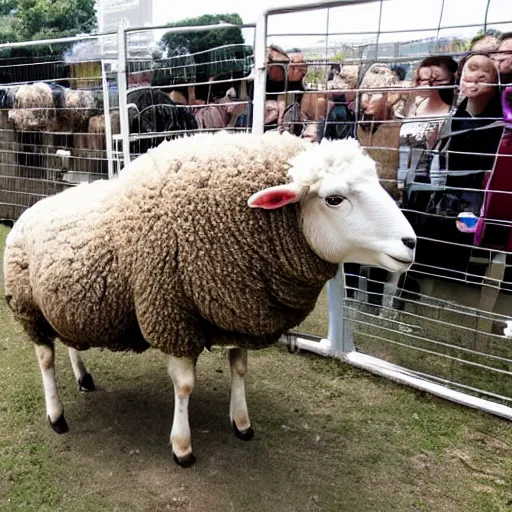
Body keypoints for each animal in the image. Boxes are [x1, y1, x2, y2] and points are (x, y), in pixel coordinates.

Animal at [3, 129, 416, 468]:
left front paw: (242, 423)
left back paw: (84, 378)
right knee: (45, 357)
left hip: (67, 305)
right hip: (28, 308)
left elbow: (240, 368)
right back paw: (57, 416)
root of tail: (31, 207)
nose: (411, 243)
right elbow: (185, 385)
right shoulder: (172, 314)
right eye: (334, 199)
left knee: (70, 341)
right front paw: (182, 447)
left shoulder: (237, 309)